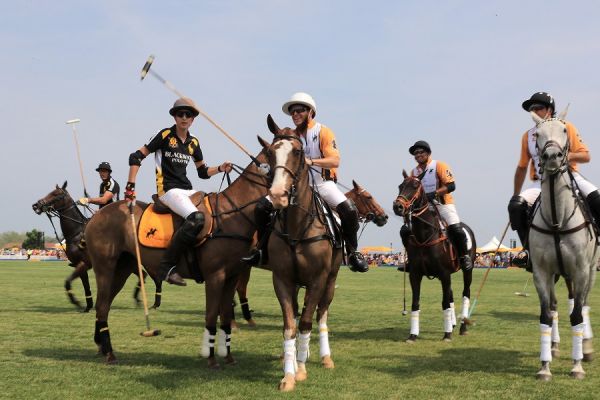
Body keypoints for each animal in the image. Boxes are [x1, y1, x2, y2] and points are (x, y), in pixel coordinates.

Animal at [31, 182, 161, 312]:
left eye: (56, 194)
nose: (36, 205)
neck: (76, 233)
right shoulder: (79, 265)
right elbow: (85, 286)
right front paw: (88, 306)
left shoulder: (84, 263)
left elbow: (67, 282)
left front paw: (76, 302)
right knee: (144, 275)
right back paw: (142, 300)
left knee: (155, 278)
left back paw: (153, 303)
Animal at [86, 152, 268, 368]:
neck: (232, 215)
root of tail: (95, 217)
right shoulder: (215, 275)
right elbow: (212, 314)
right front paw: (212, 358)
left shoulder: (232, 275)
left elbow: (224, 314)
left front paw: (229, 356)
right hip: (104, 267)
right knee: (102, 305)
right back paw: (109, 353)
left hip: (121, 269)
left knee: (102, 305)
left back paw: (101, 345)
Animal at [394, 170, 478, 342]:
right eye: (400, 186)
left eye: (415, 185)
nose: (397, 206)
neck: (425, 235)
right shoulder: (415, 274)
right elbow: (415, 303)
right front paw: (412, 335)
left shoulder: (444, 273)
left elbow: (445, 302)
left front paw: (447, 335)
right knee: (451, 295)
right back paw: (452, 324)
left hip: (467, 270)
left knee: (465, 293)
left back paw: (462, 326)